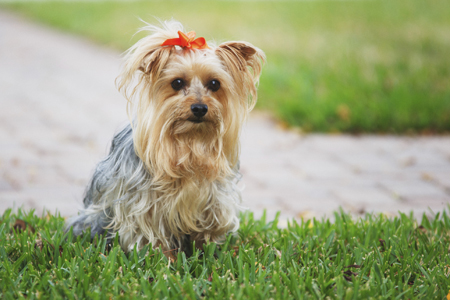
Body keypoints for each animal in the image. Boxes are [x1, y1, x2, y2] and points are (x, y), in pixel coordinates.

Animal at [66, 19, 264, 252]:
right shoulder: (143, 203)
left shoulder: (215, 200)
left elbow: (210, 228)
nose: (199, 108)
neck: (190, 140)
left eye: (215, 84)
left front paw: (206, 252)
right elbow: (150, 233)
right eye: (177, 83)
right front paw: (163, 257)